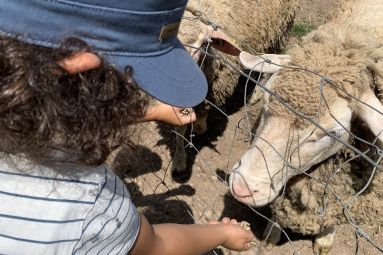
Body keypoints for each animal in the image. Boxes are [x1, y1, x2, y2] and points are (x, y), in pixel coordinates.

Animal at [171, 0, 300, 181]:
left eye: (204, 44)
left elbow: (202, 114)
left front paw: (199, 127)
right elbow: (180, 130)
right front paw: (179, 161)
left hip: (280, 32)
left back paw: (256, 94)